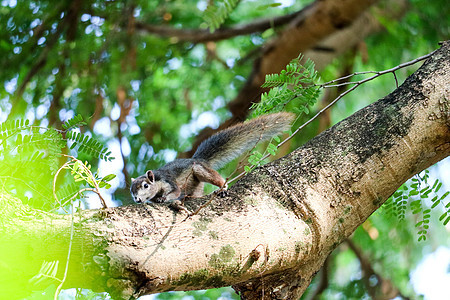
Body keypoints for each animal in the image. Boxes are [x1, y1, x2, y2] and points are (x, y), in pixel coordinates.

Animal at [130, 111, 296, 207]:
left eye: (145, 185)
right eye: (131, 191)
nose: (137, 199)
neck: (157, 183)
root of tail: (199, 159)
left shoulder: (168, 181)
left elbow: (175, 191)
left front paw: (164, 198)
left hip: (199, 170)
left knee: (216, 179)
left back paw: (223, 188)